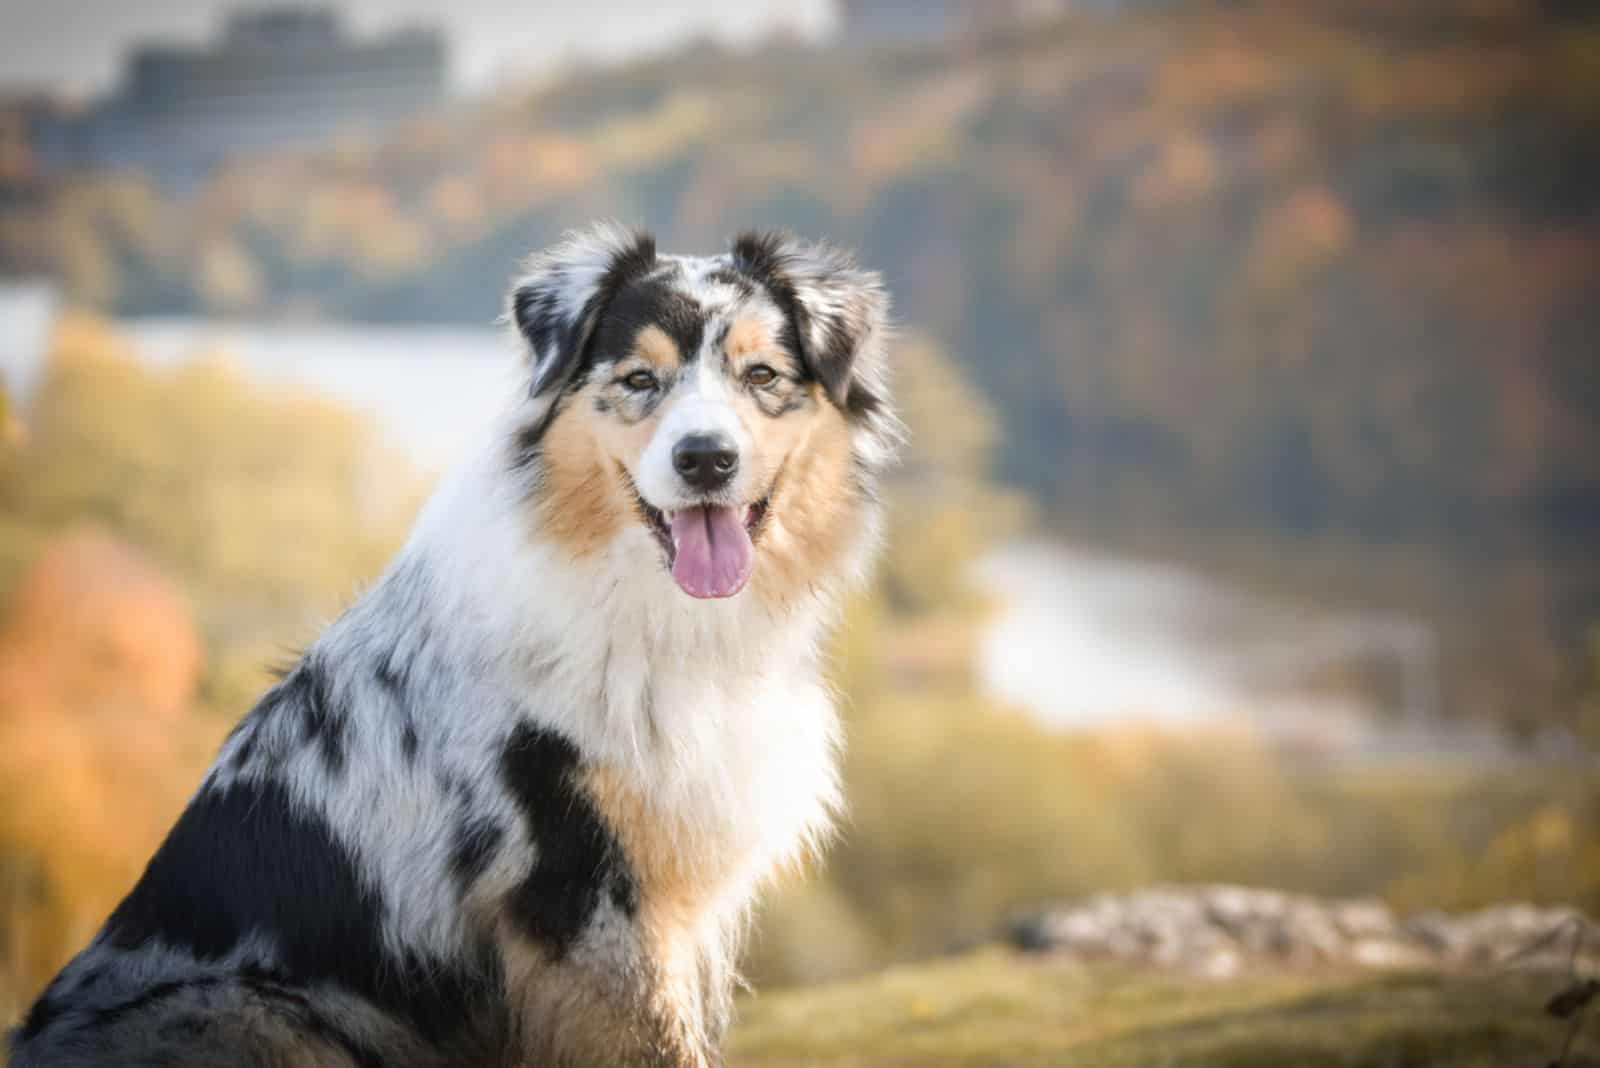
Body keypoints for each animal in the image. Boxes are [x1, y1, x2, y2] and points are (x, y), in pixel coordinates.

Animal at [9, 227, 902, 1068]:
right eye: (638, 381)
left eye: (763, 377)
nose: (706, 459)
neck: (659, 615)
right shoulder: (585, 903)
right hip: (254, 1011)